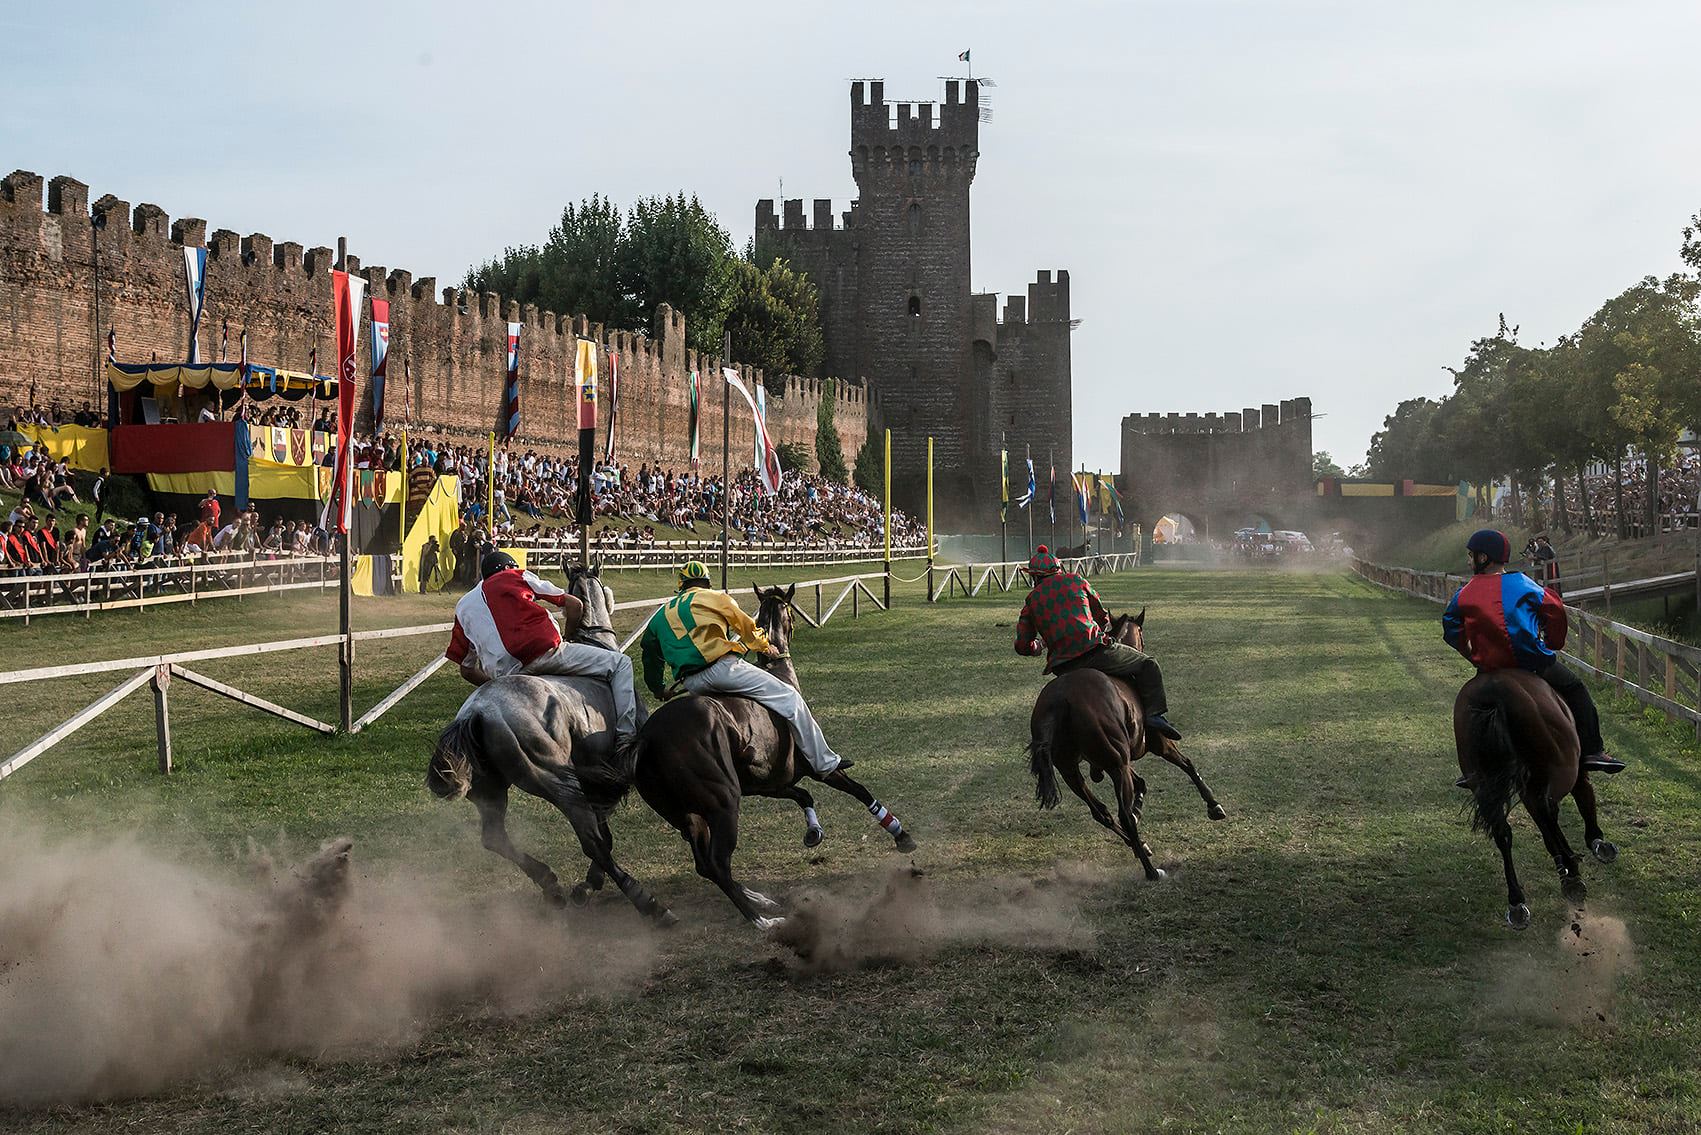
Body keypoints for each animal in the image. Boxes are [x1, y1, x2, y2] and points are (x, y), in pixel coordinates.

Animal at [425, 568, 676, 932]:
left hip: (491, 790)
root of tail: (478, 713)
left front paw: (586, 885)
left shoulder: (594, 778)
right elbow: (604, 834)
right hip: (557, 781)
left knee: (494, 837)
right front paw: (589, 885)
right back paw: (648, 904)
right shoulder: (601, 778)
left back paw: (550, 884)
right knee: (591, 841)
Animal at [632, 585, 918, 932]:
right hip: (723, 803)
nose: (793, 629)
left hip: (687, 815)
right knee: (718, 863)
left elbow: (803, 795)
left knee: (706, 865)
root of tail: (648, 740)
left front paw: (813, 832)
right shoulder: (812, 766)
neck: (779, 675)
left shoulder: (770, 783)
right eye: (791, 613)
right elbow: (856, 788)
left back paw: (759, 900)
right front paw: (900, 833)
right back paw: (762, 920)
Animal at [1020, 609, 1224, 884]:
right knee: (1122, 815)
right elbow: (1187, 765)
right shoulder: (1158, 744)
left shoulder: (1118, 761)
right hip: (1116, 764)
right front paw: (1213, 805)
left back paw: (1141, 846)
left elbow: (1141, 784)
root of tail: (1061, 699)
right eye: (1142, 635)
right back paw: (1151, 870)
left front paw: (1139, 813)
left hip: (1072, 769)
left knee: (1102, 812)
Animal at [1449, 670, 1619, 925]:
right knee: (1548, 810)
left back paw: (1518, 901)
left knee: (1505, 831)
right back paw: (1571, 870)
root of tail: (1493, 693)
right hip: (1557, 769)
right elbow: (1583, 799)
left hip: (1487, 783)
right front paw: (1596, 842)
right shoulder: (1571, 772)